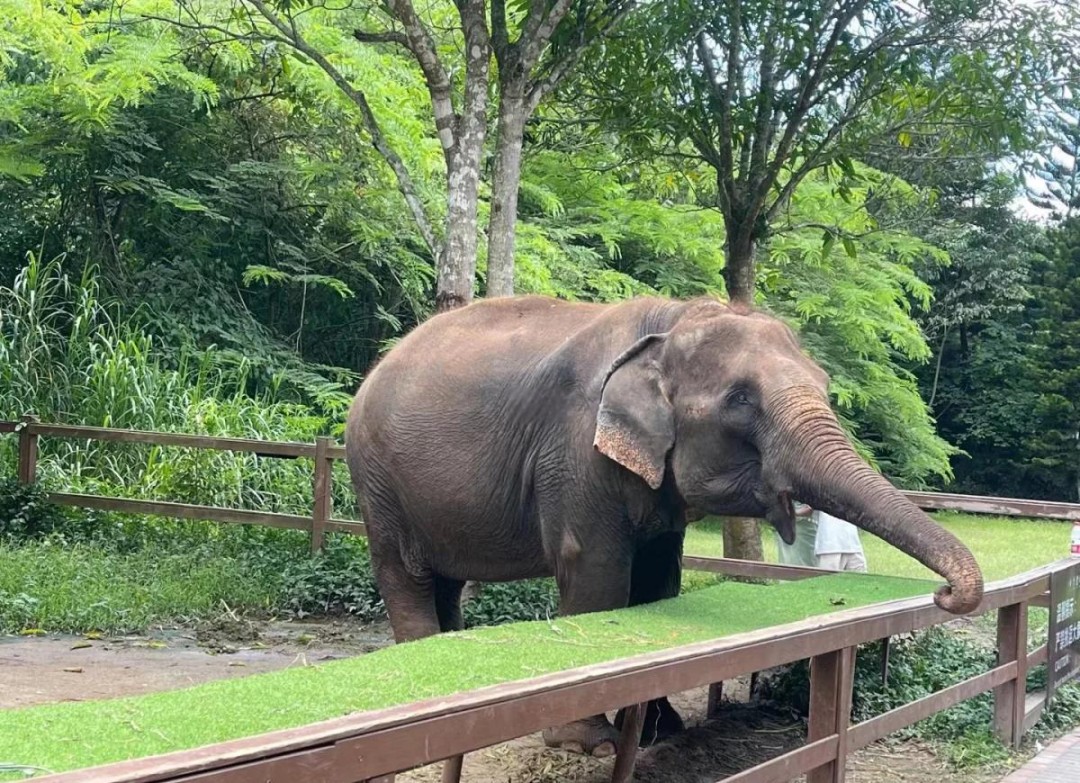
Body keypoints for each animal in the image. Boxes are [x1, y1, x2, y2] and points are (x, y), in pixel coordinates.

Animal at [344, 294, 983, 757]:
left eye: (825, 387)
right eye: (740, 399)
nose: (944, 594)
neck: (672, 319)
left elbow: (659, 579)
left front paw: (663, 730)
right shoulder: (575, 451)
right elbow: (598, 573)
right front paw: (594, 746)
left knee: (444, 581)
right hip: (377, 480)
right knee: (404, 574)